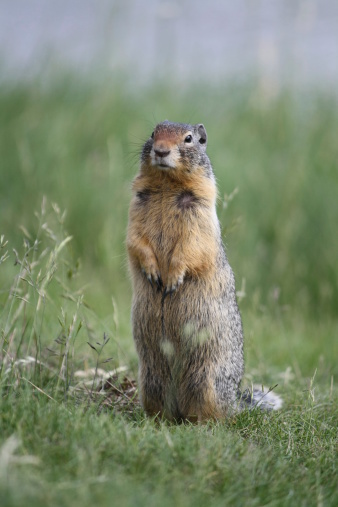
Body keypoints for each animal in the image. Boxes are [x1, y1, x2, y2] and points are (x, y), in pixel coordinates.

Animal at [126, 121, 280, 422]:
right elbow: (136, 241)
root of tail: (235, 402)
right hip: (151, 378)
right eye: (153, 133)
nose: (161, 151)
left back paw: (200, 423)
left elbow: (191, 246)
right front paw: (152, 271)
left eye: (189, 139)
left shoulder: (200, 214)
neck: (167, 185)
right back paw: (157, 419)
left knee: (212, 414)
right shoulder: (135, 207)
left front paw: (172, 278)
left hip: (206, 379)